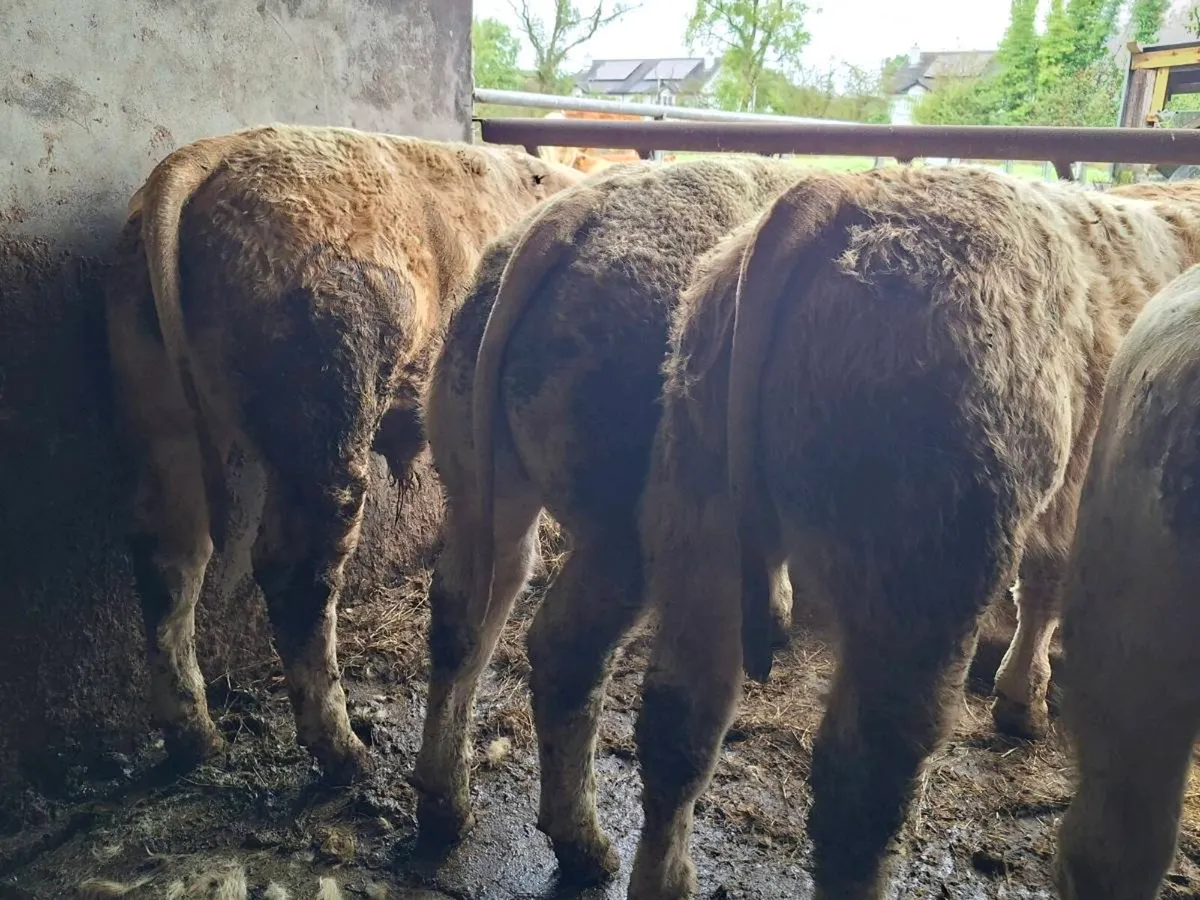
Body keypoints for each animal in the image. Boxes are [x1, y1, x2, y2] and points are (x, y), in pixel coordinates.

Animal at [105, 123, 581, 783]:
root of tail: (207, 157)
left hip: (158, 412)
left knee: (170, 559)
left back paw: (197, 741)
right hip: (328, 412)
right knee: (297, 571)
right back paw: (348, 754)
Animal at [408, 156, 804, 884]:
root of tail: (558, 226)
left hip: (473, 470)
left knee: (465, 613)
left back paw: (444, 805)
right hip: (626, 527)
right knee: (567, 651)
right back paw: (586, 847)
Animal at [627, 165, 1200, 900]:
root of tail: (841, 193)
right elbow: (1043, 588)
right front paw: (1022, 699)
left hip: (698, 511)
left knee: (679, 717)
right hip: (924, 575)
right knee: (865, 780)